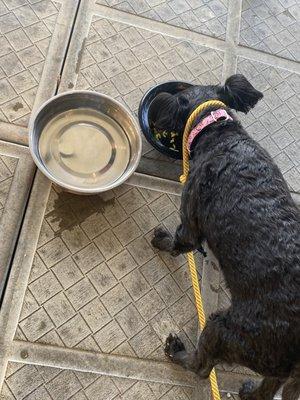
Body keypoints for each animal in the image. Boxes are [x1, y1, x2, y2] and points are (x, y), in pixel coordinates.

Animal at [150, 73, 300, 398]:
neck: (219, 131)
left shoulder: (190, 218)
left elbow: (181, 241)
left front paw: (162, 241)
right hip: (278, 367)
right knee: (267, 391)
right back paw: (248, 391)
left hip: (227, 330)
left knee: (201, 367)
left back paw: (178, 352)